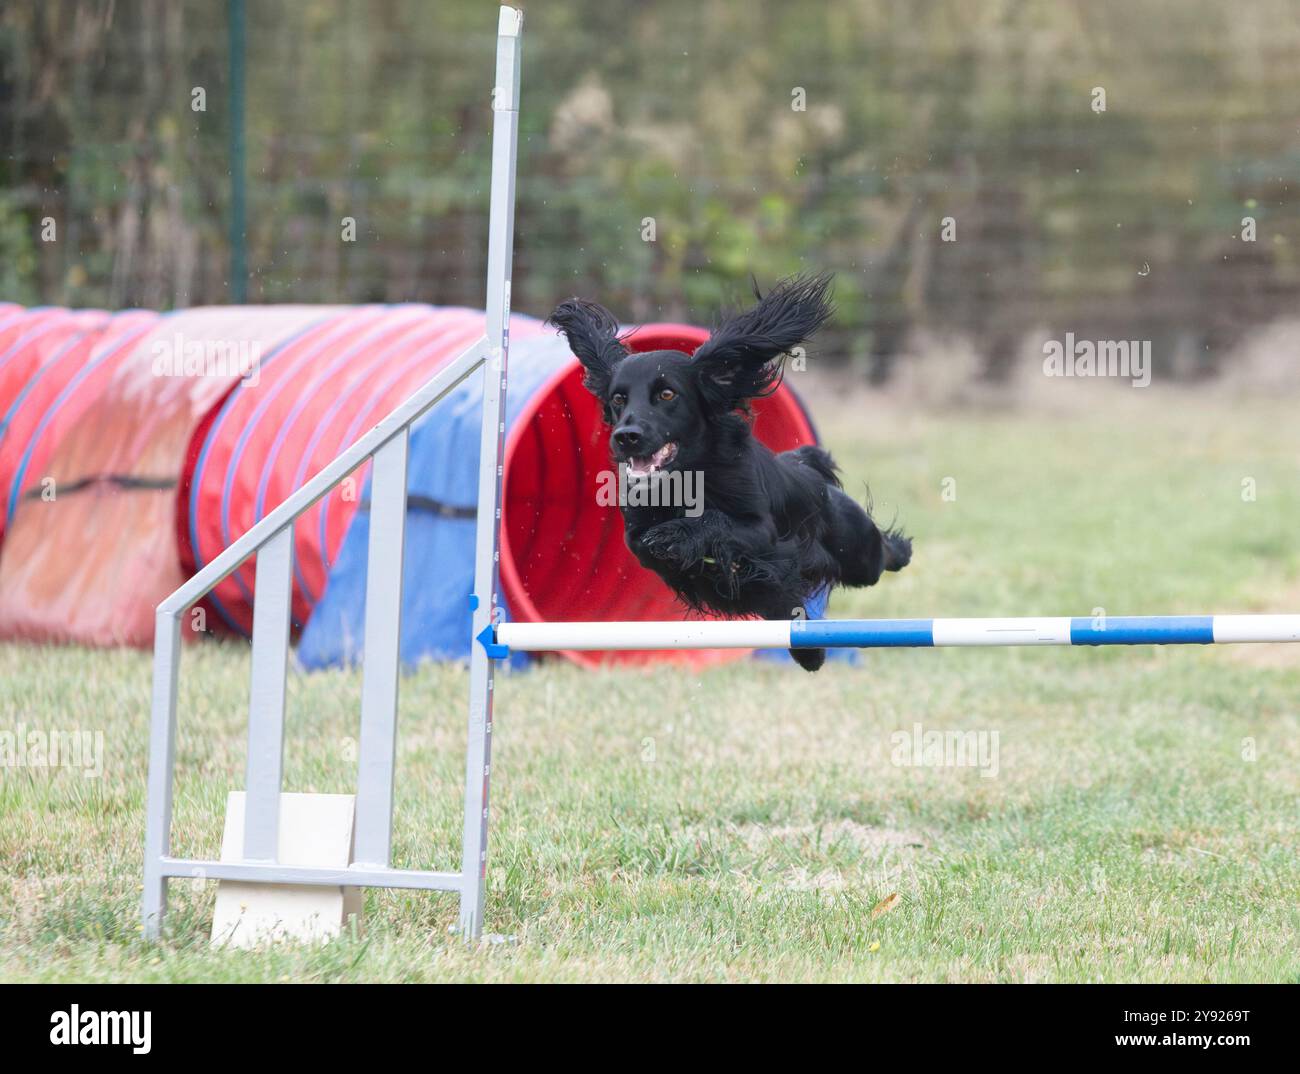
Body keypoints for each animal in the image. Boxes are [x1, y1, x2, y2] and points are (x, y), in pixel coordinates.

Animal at [551, 270, 915, 670]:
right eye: (618, 398)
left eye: (667, 394)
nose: (626, 437)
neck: (686, 478)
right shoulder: (636, 529)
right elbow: (644, 546)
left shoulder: (761, 530)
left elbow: (715, 524)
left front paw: (677, 537)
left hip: (855, 548)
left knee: (880, 552)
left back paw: (896, 554)